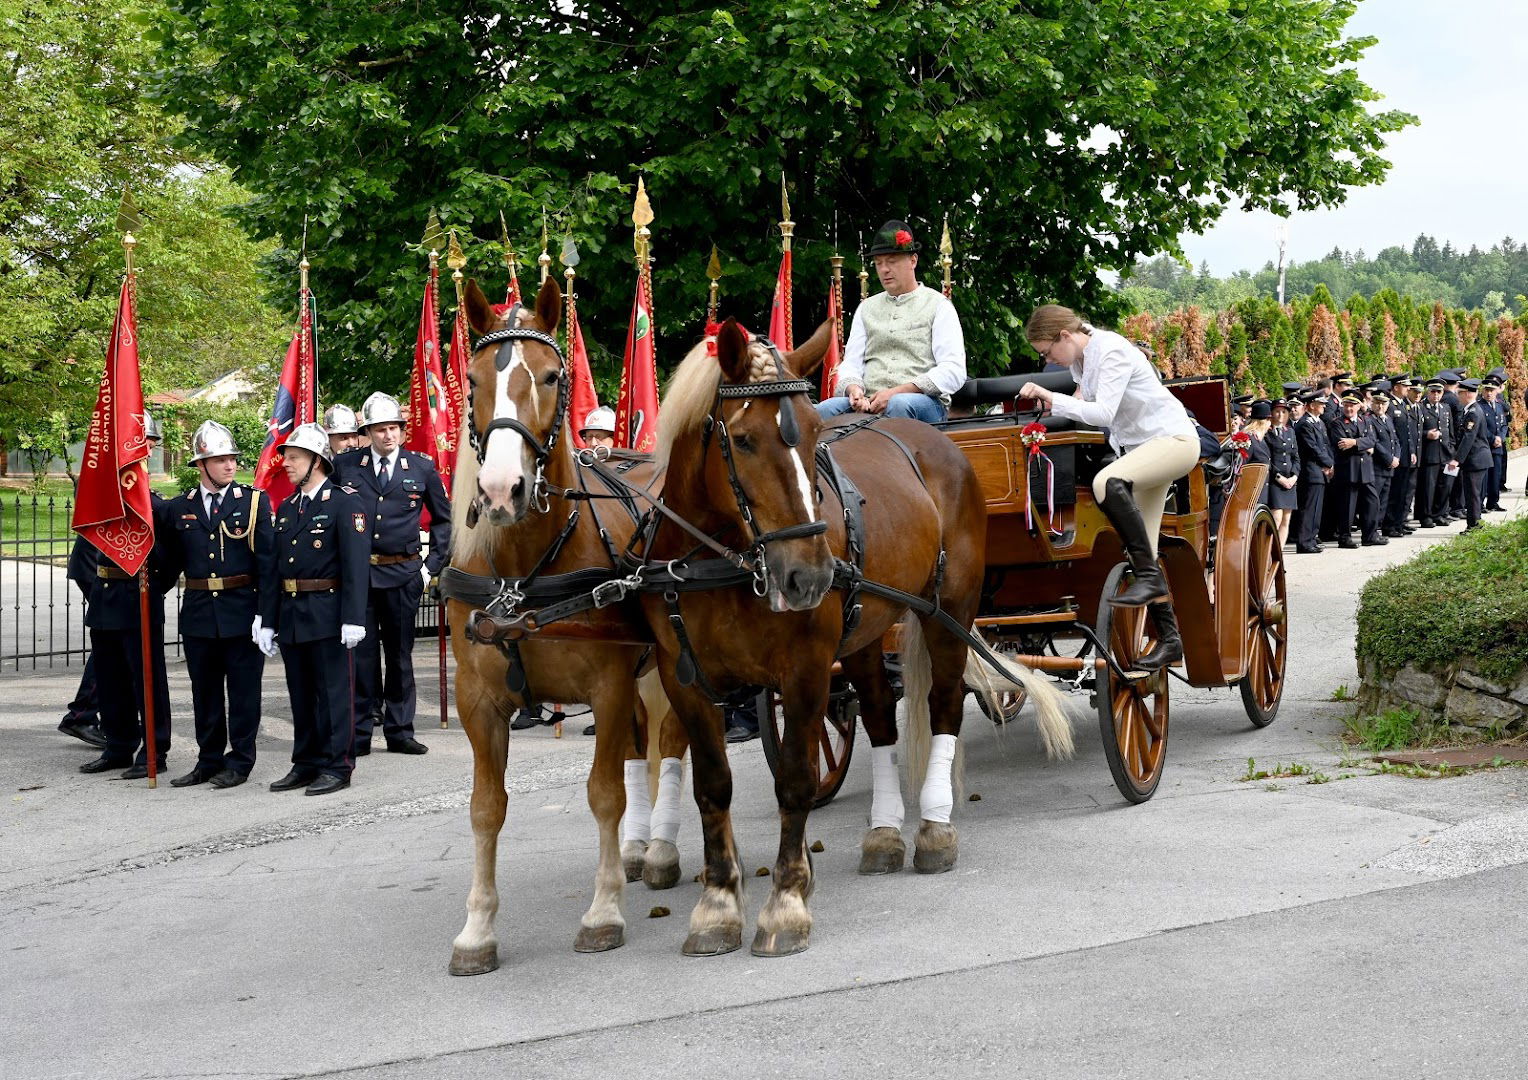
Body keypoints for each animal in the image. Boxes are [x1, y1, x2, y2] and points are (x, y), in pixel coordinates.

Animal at [446, 274, 690, 977]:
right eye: (472, 380)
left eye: (553, 375)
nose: (501, 490)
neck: (522, 572)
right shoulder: (478, 701)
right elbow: (486, 808)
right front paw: (478, 928)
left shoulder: (607, 686)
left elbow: (604, 792)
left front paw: (602, 912)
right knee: (643, 749)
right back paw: (637, 849)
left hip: (667, 665)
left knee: (670, 744)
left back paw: (661, 849)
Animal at [644, 319, 1075, 953]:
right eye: (742, 439)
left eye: (813, 433)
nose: (810, 575)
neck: (721, 562)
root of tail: (937, 441)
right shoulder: (687, 680)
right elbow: (713, 787)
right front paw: (717, 906)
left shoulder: (803, 670)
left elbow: (796, 780)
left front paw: (787, 902)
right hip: (870, 629)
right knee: (875, 716)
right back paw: (884, 833)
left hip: (948, 609)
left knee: (943, 706)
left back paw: (934, 829)